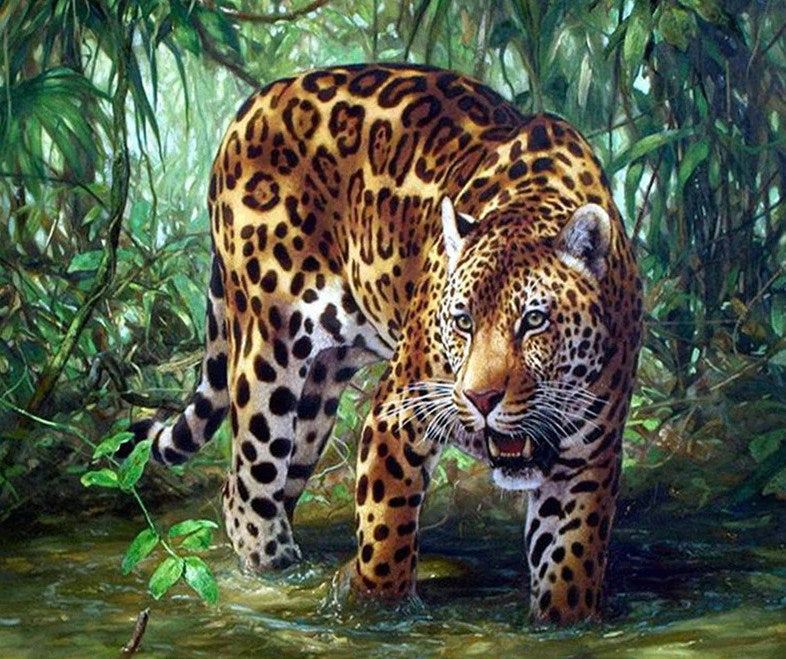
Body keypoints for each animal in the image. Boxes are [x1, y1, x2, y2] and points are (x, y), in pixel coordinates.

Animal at [122, 63, 642, 625]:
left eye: (534, 321)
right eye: (462, 321)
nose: (481, 399)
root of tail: (252, 106)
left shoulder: (586, 461)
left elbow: (570, 566)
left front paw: (562, 624)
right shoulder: (398, 414)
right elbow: (385, 530)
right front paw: (375, 612)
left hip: (317, 398)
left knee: (271, 485)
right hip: (266, 356)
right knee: (245, 492)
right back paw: (273, 578)